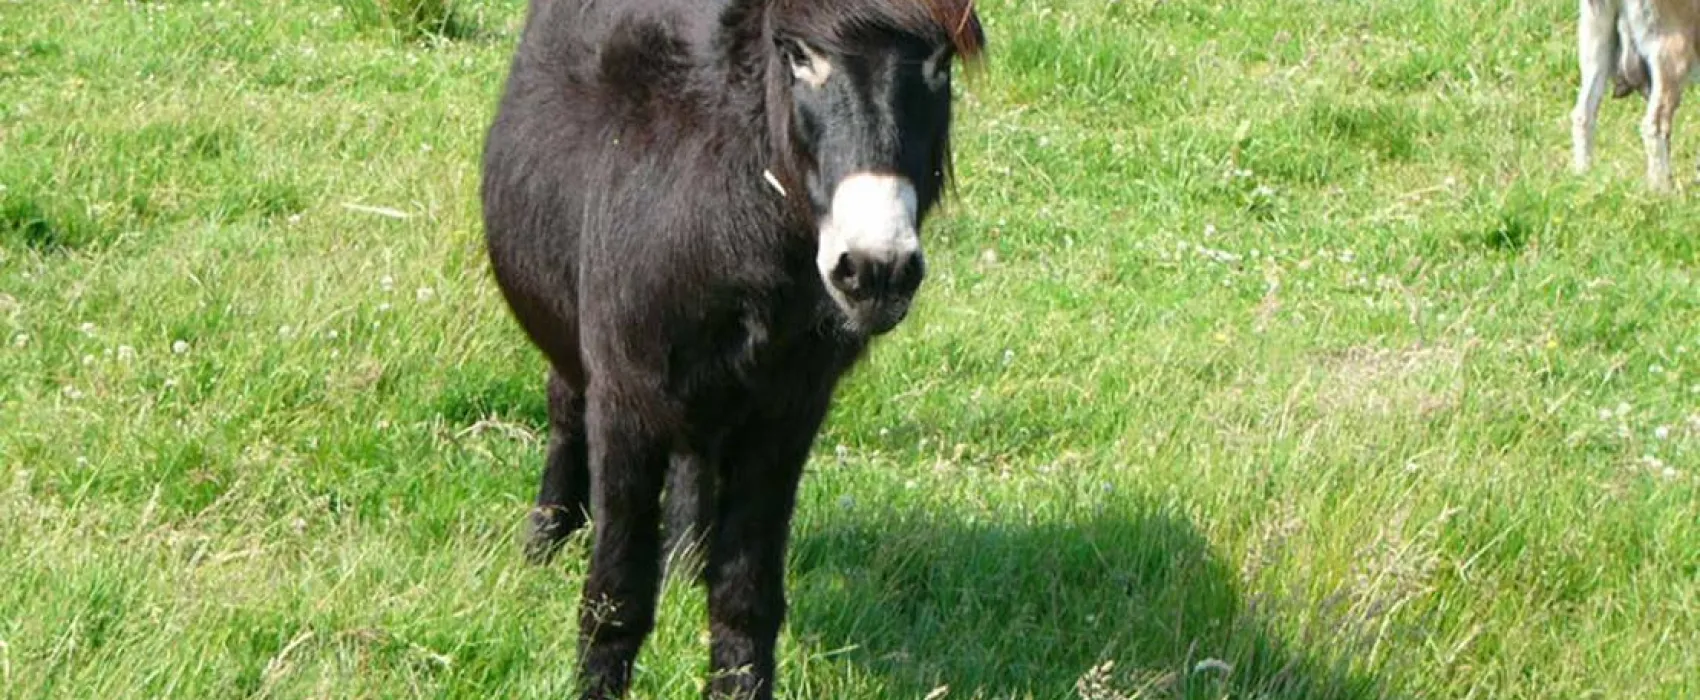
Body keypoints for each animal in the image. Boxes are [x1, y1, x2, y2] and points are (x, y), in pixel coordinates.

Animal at [478, 0, 985, 697]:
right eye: (799, 57)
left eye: (939, 66)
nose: (876, 270)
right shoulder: (626, 395)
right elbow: (615, 598)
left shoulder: (786, 413)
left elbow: (746, 598)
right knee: (565, 406)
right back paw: (546, 540)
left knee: (696, 457)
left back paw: (685, 563)